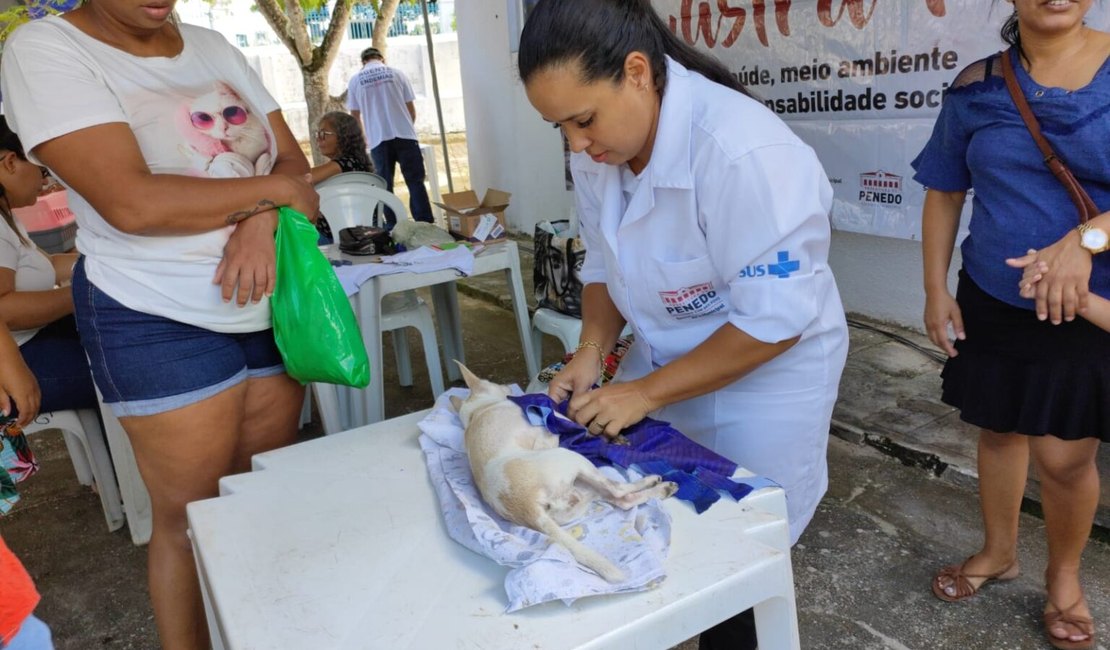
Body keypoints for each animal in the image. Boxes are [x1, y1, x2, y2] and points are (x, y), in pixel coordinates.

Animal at [448, 361, 674, 581]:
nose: (508, 386)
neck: (478, 410)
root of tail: (529, 509)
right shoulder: (552, 423)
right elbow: (576, 424)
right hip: (575, 462)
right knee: (619, 490)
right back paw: (653, 481)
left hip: (581, 491)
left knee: (622, 500)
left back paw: (662, 489)